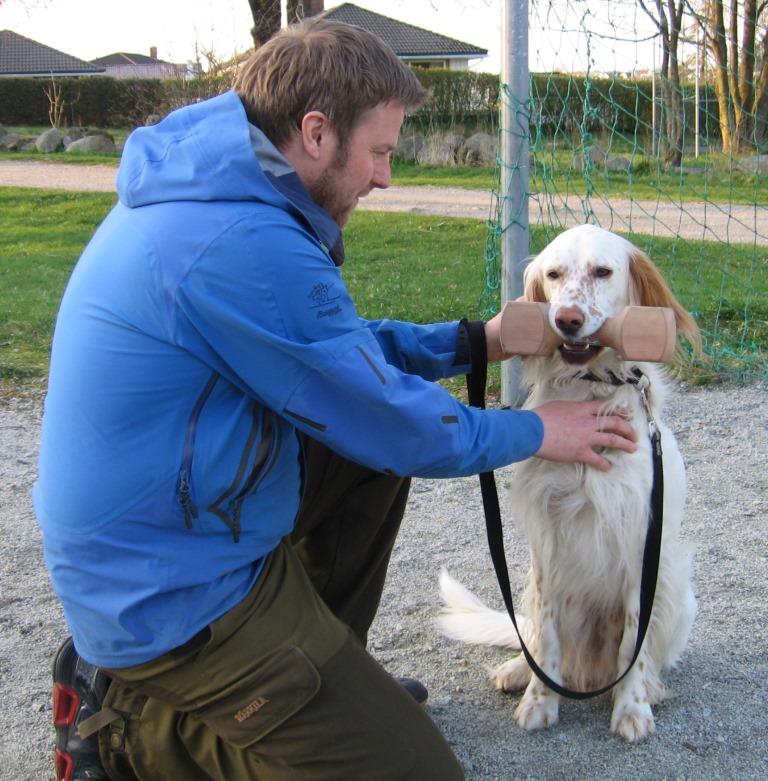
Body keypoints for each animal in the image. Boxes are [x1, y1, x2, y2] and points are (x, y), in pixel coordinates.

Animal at [438, 222, 704, 740]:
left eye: (602, 272)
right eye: (554, 275)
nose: (565, 319)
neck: (592, 390)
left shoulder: (639, 540)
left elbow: (634, 644)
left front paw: (632, 707)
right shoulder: (547, 543)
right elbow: (547, 636)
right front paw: (539, 701)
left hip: (677, 587)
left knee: (649, 655)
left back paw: (650, 688)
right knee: (536, 640)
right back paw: (518, 671)